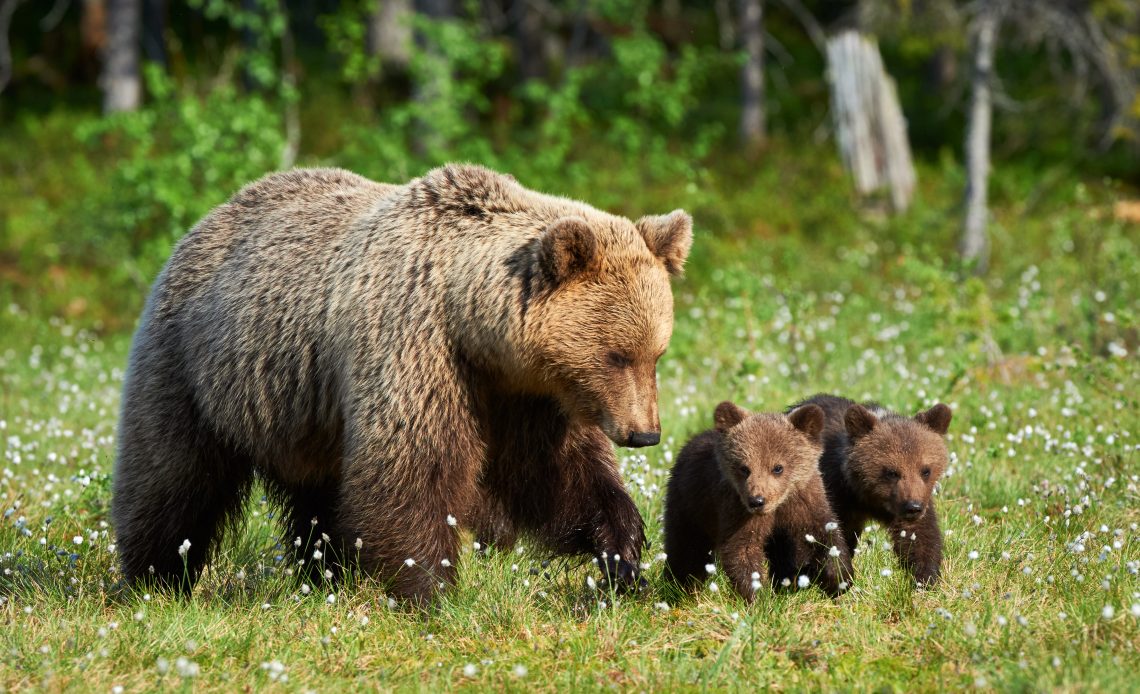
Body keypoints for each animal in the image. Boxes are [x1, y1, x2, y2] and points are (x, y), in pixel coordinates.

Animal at [111, 164, 693, 603]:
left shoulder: (527, 396)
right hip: (197, 367)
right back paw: (156, 579)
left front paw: (624, 553)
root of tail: (206, 221)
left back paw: (324, 574)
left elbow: (556, 473)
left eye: (656, 353)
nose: (645, 433)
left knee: (319, 499)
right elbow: (411, 467)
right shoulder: (415, 346)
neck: (474, 327)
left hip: (306, 411)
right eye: (616, 355)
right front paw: (431, 587)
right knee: (172, 478)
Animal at [663, 400, 850, 602]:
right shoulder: (737, 508)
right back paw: (678, 589)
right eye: (744, 468)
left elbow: (823, 534)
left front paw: (839, 579)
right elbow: (742, 549)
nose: (757, 501)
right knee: (686, 550)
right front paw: (758, 596)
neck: (778, 504)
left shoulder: (804, 500)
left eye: (778, 467)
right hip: (690, 507)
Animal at [790, 394, 953, 586]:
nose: (913, 507)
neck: (869, 497)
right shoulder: (834, 491)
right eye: (892, 472)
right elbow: (823, 531)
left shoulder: (912, 503)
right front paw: (839, 576)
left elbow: (920, 536)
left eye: (926, 470)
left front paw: (925, 578)